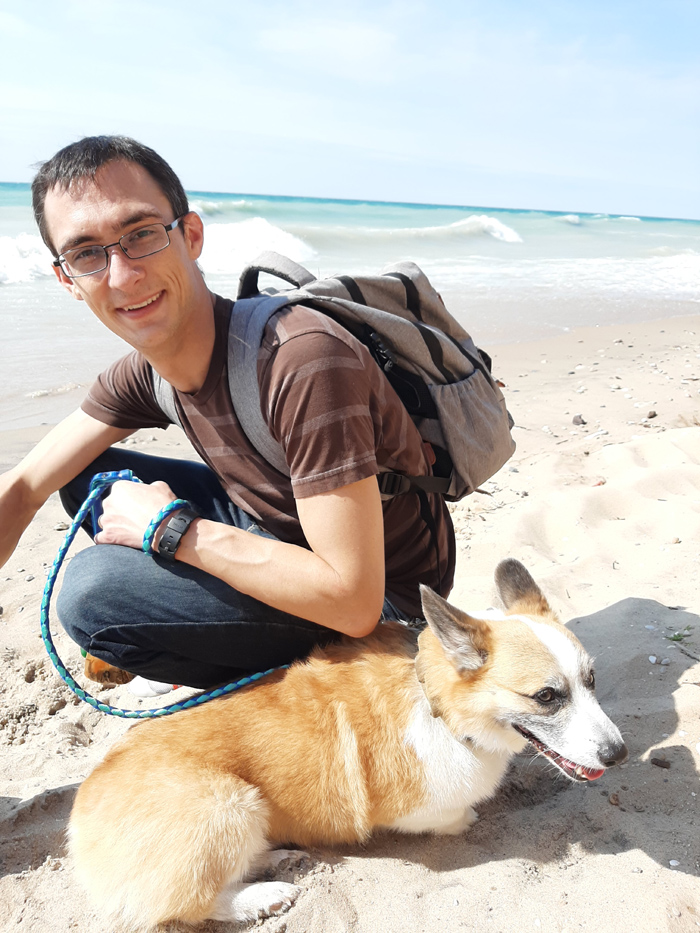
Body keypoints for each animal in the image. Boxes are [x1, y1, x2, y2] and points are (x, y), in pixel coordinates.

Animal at [69, 556, 628, 928]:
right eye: (546, 696)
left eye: (592, 679)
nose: (618, 755)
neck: (439, 706)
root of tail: (78, 816)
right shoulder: (419, 807)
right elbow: (452, 817)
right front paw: (467, 817)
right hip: (227, 803)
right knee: (190, 902)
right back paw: (265, 895)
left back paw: (277, 858)